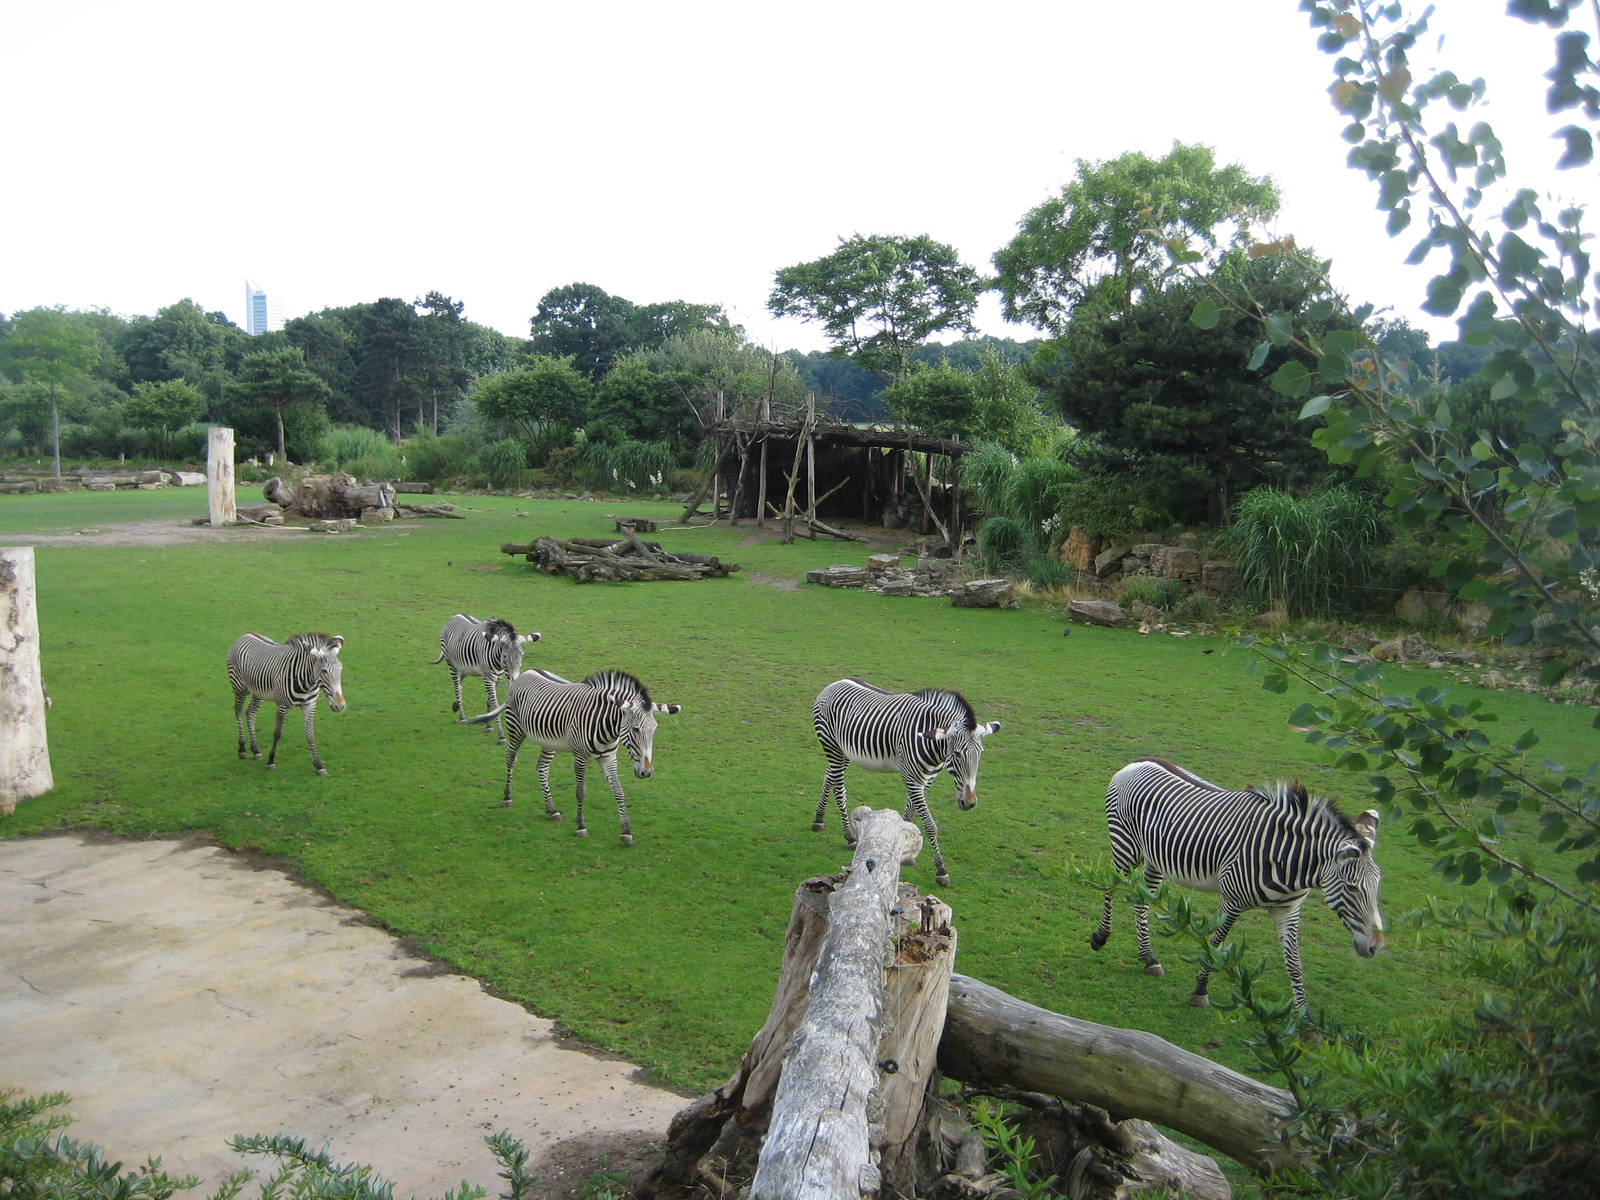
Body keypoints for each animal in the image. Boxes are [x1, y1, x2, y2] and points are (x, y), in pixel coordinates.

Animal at [227, 632, 348, 775]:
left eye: (340, 669)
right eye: (324, 671)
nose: (340, 706)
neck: (307, 684)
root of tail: (245, 634)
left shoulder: (310, 705)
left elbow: (310, 735)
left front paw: (318, 765)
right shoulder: (282, 706)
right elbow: (277, 733)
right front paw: (271, 761)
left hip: (258, 692)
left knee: (250, 713)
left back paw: (255, 750)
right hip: (239, 686)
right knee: (238, 711)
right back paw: (242, 748)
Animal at [431, 613, 540, 743]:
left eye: (522, 655)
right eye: (505, 656)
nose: (514, 680)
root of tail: (456, 615)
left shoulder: (498, 678)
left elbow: (489, 701)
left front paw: (488, 725)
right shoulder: (489, 678)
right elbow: (495, 704)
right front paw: (501, 736)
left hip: (464, 667)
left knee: (460, 683)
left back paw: (456, 705)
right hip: (451, 664)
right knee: (457, 688)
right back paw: (462, 717)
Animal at [469, 667, 680, 845]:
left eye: (654, 729)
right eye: (636, 729)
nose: (646, 772)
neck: (609, 729)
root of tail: (528, 671)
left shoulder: (609, 758)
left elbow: (619, 790)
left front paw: (626, 830)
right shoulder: (580, 758)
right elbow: (580, 792)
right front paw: (580, 826)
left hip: (549, 741)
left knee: (542, 768)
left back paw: (551, 809)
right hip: (516, 728)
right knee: (510, 759)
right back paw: (507, 797)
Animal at [810, 677, 1000, 888]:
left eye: (981, 753)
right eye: (957, 754)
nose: (969, 803)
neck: (933, 746)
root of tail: (835, 683)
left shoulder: (926, 780)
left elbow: (909, 817)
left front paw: (905, 850)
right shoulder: (912, 779)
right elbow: (930, 825)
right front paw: (941, 870)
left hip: (843, 752)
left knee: (829, 776)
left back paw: (818, 819)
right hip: (832, 746)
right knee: (839, 788)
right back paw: (849, 836)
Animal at [1089, 757, 1384, 1019]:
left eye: (1377, 886)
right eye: (1352, 888)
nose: (1376, 947)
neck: (1289, 864)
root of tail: (1137, 762)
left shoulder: (1288, 912)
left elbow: (1295, 964)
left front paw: (1306, 1022)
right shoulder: (1232, 901)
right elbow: (1216, 944)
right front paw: (1200, 990)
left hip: (1154, 857)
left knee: (1143, 899)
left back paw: (1149, 958)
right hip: (1125, 845)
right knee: (1111, 885)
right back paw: (1101, 937)